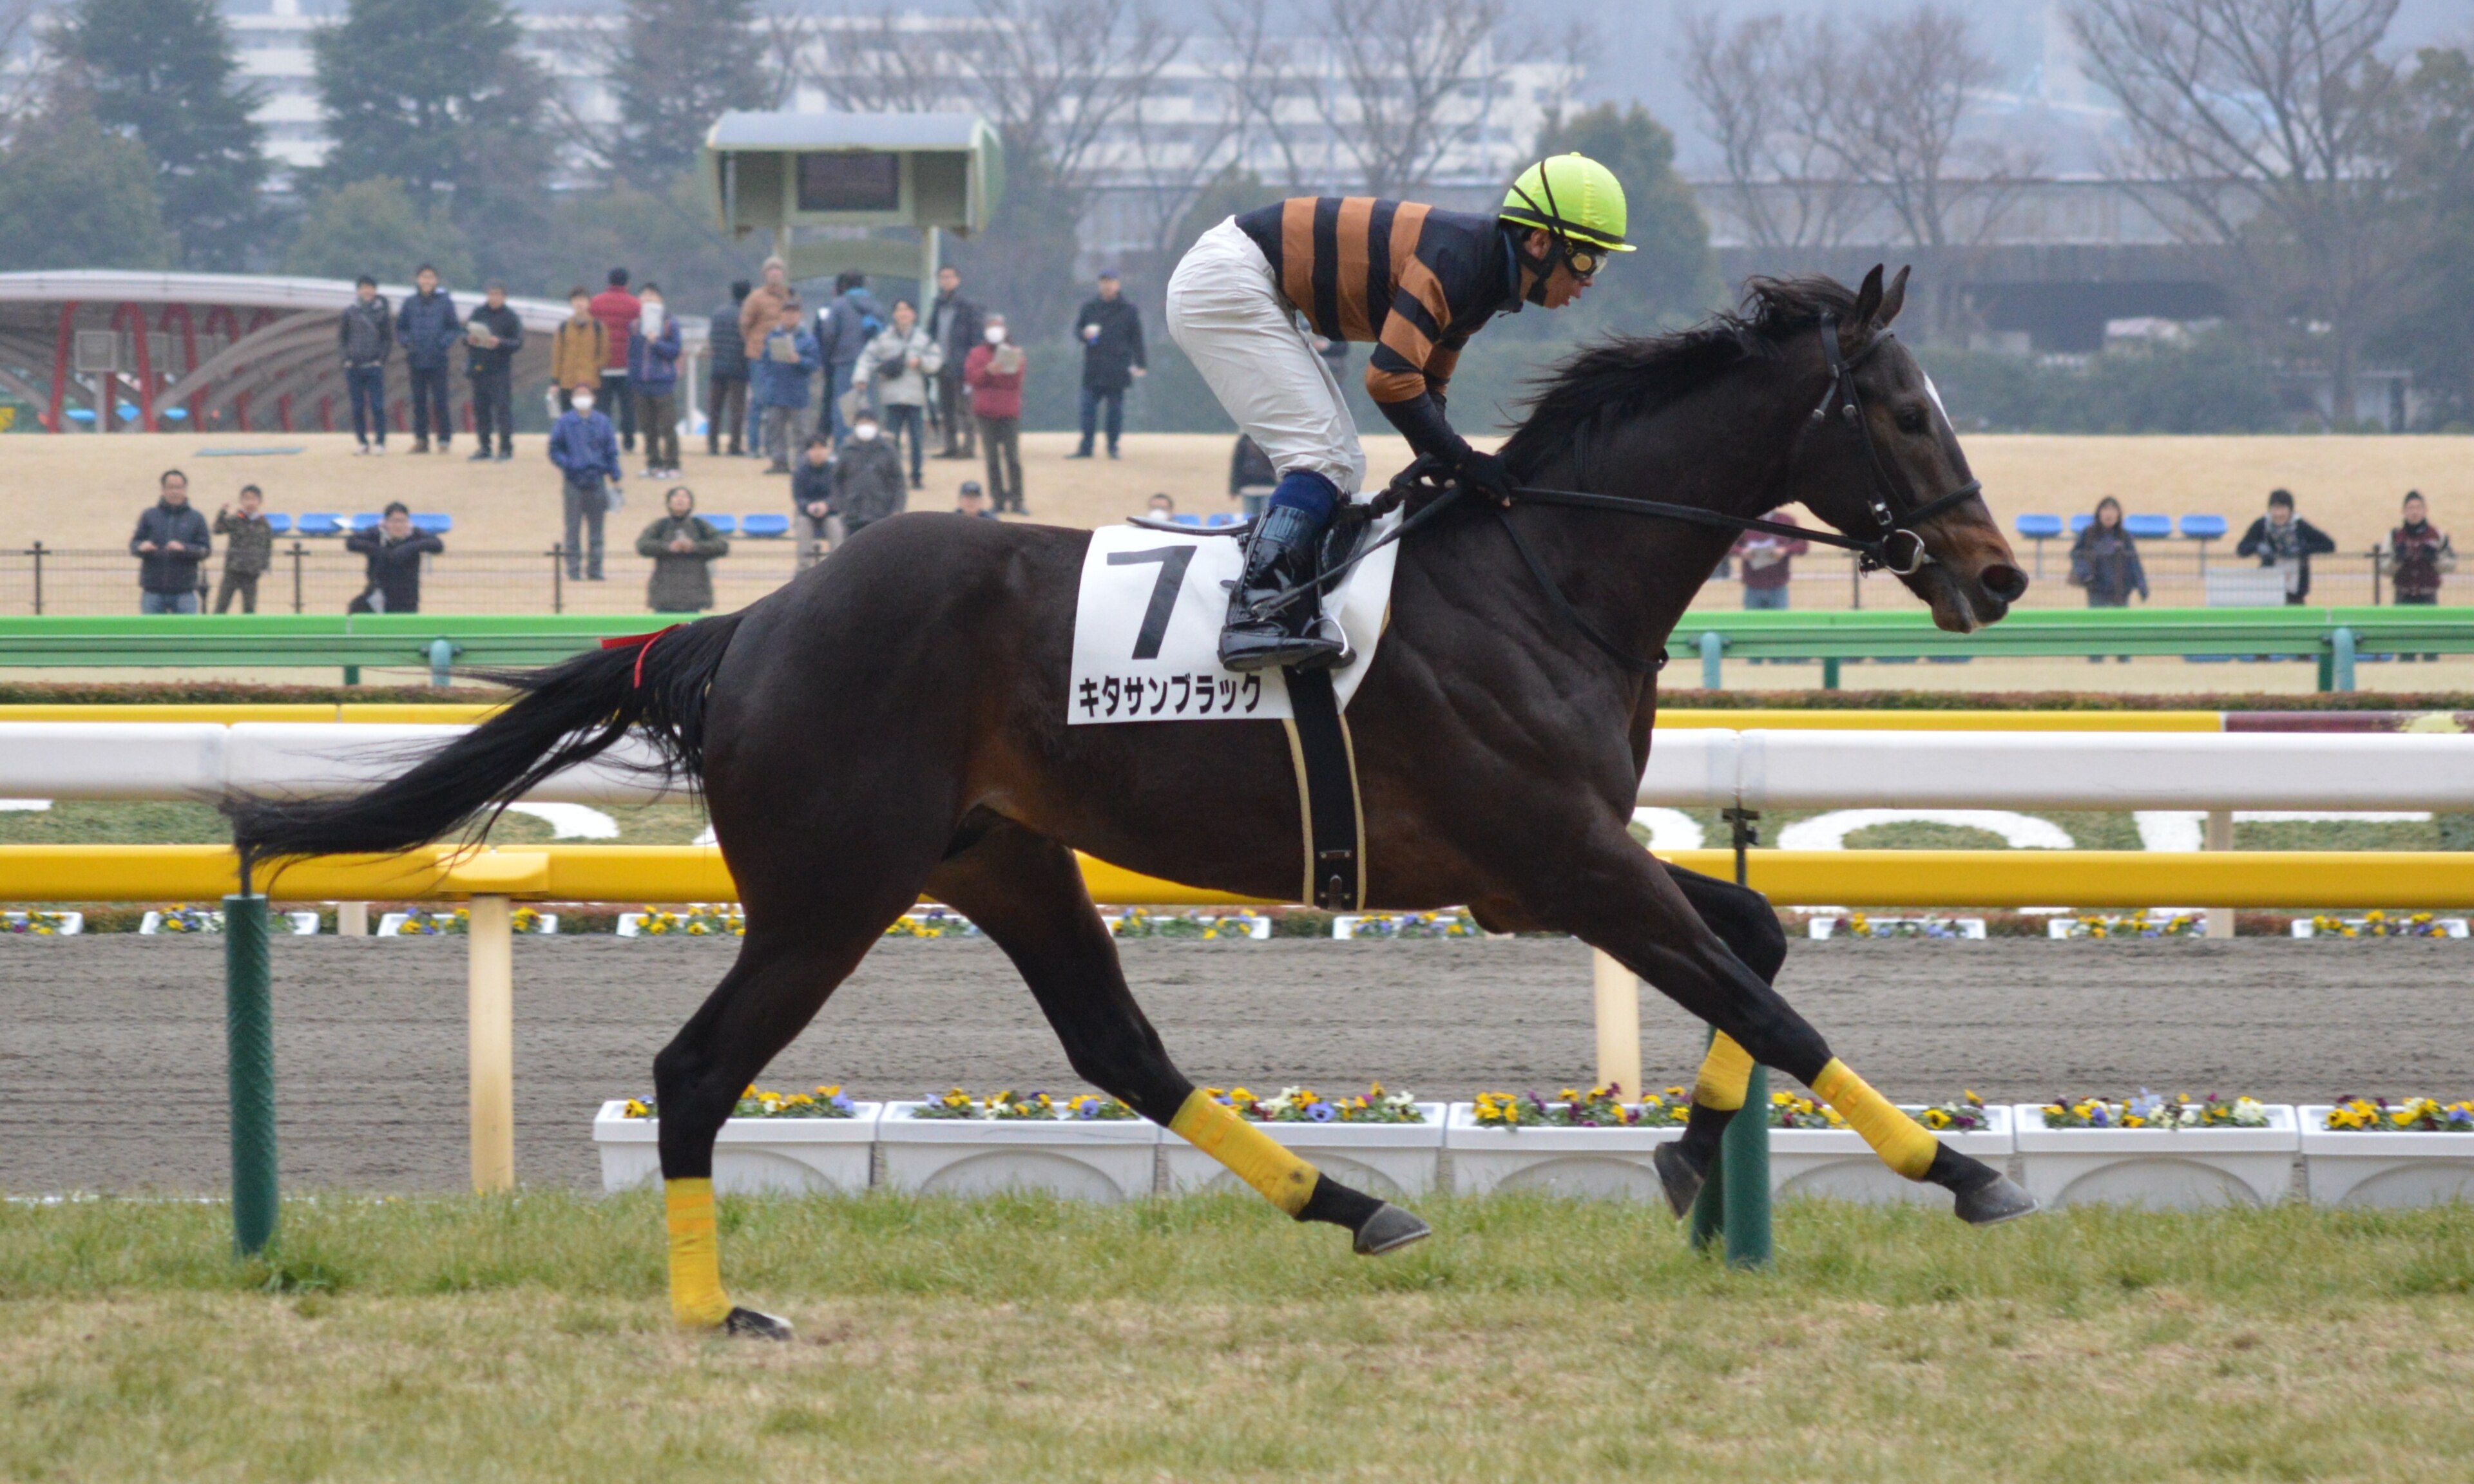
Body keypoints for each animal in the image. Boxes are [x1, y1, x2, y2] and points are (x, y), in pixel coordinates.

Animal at [232, 266, 2037, 1339]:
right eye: (1899, 408)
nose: (2001, 574)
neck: (1546, 575)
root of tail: (741, 623)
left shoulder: (1544, 870)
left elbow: (1758, 947)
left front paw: (1687, 1158)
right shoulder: (1558, 856)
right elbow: (1765, 990)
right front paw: (1957, 1171)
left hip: (1001, 858)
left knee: (1118, 1048)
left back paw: (1354, 1205)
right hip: (831, 887)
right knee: (695, 1070)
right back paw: (711, 1312)